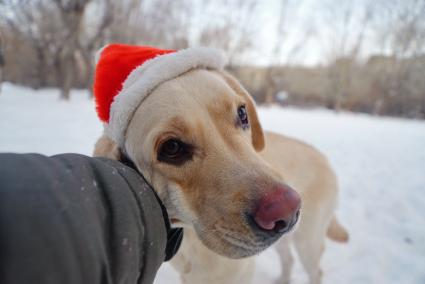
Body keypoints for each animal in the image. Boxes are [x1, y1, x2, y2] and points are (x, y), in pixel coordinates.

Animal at [93, 69, 348, 284]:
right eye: (171, 147)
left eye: (242, 113)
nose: (287, 209)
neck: (188, 235)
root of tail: (324, 158)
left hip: (308, 242)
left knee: (315, 271)